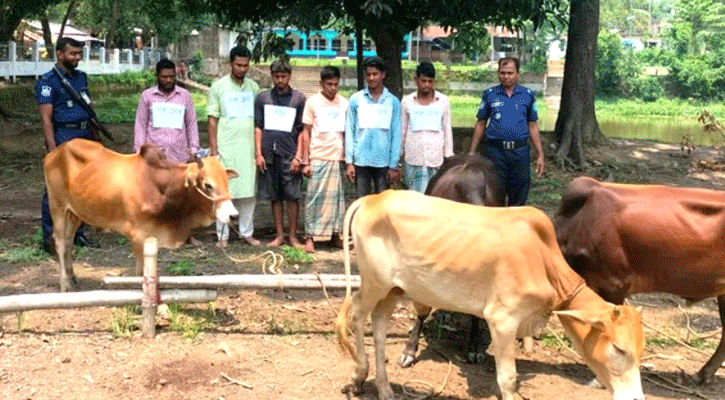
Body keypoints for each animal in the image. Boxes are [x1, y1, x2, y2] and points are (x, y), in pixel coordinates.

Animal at [43, 139, 239, 292]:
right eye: (208, 185)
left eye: (226, 182)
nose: (233, 215)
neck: (159, 186)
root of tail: (54, 153)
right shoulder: (137, 236)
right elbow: (140, 273)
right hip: (57, 207)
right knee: (60, 242)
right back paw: (65, 283)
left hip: (75, 213)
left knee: (68, 241)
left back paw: (72, 276)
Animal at [334, 190, 644, 400]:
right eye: (619, 348)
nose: (635, 397)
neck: (542, 259)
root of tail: (375, 198)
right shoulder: (502, 319)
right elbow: (508, 378)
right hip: (375, 283)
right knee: (356, 313)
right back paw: (359, 375)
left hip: (392, 290)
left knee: (379, 324)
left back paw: (385, 388)